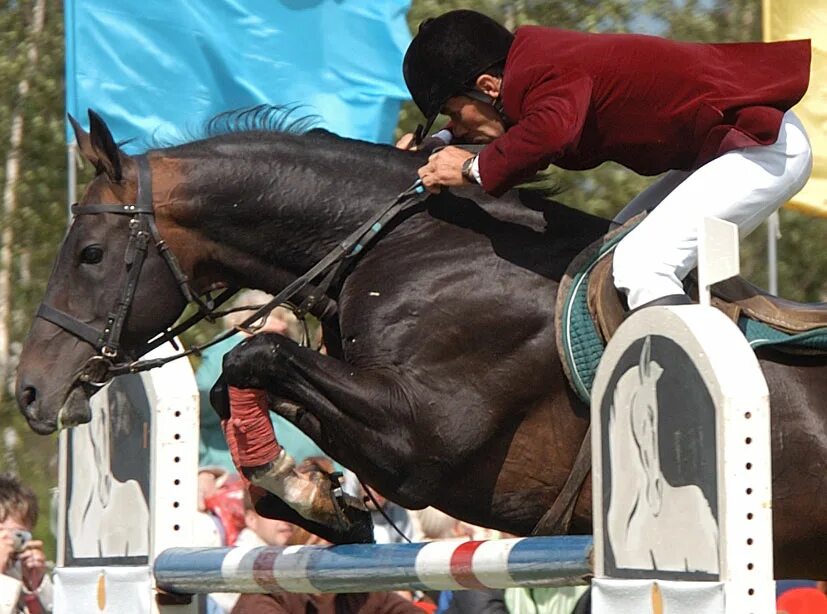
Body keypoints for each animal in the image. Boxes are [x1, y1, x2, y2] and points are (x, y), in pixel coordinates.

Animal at [14, 108, 827, 580]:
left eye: (89, 254)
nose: (30, 393)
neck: (406, 246)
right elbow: (239, 381)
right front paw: (315, 495)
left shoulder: (425, 435)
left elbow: (255, 356)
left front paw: (309, 491)